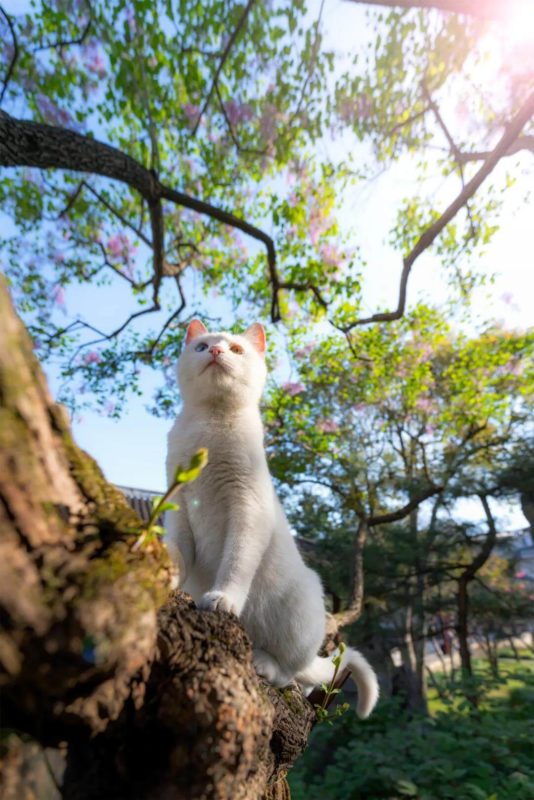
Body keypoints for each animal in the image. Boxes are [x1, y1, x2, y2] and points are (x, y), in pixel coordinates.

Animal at [165, 318, 378, 720]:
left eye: (235, 349)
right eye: (201, 347)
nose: (215, 351)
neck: (209, 427)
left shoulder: (248, 511)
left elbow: (235, 563)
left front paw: (224, 598)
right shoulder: (179, 509)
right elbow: (177, 555)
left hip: (302, 607)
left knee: (292, 673)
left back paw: (264, 662)